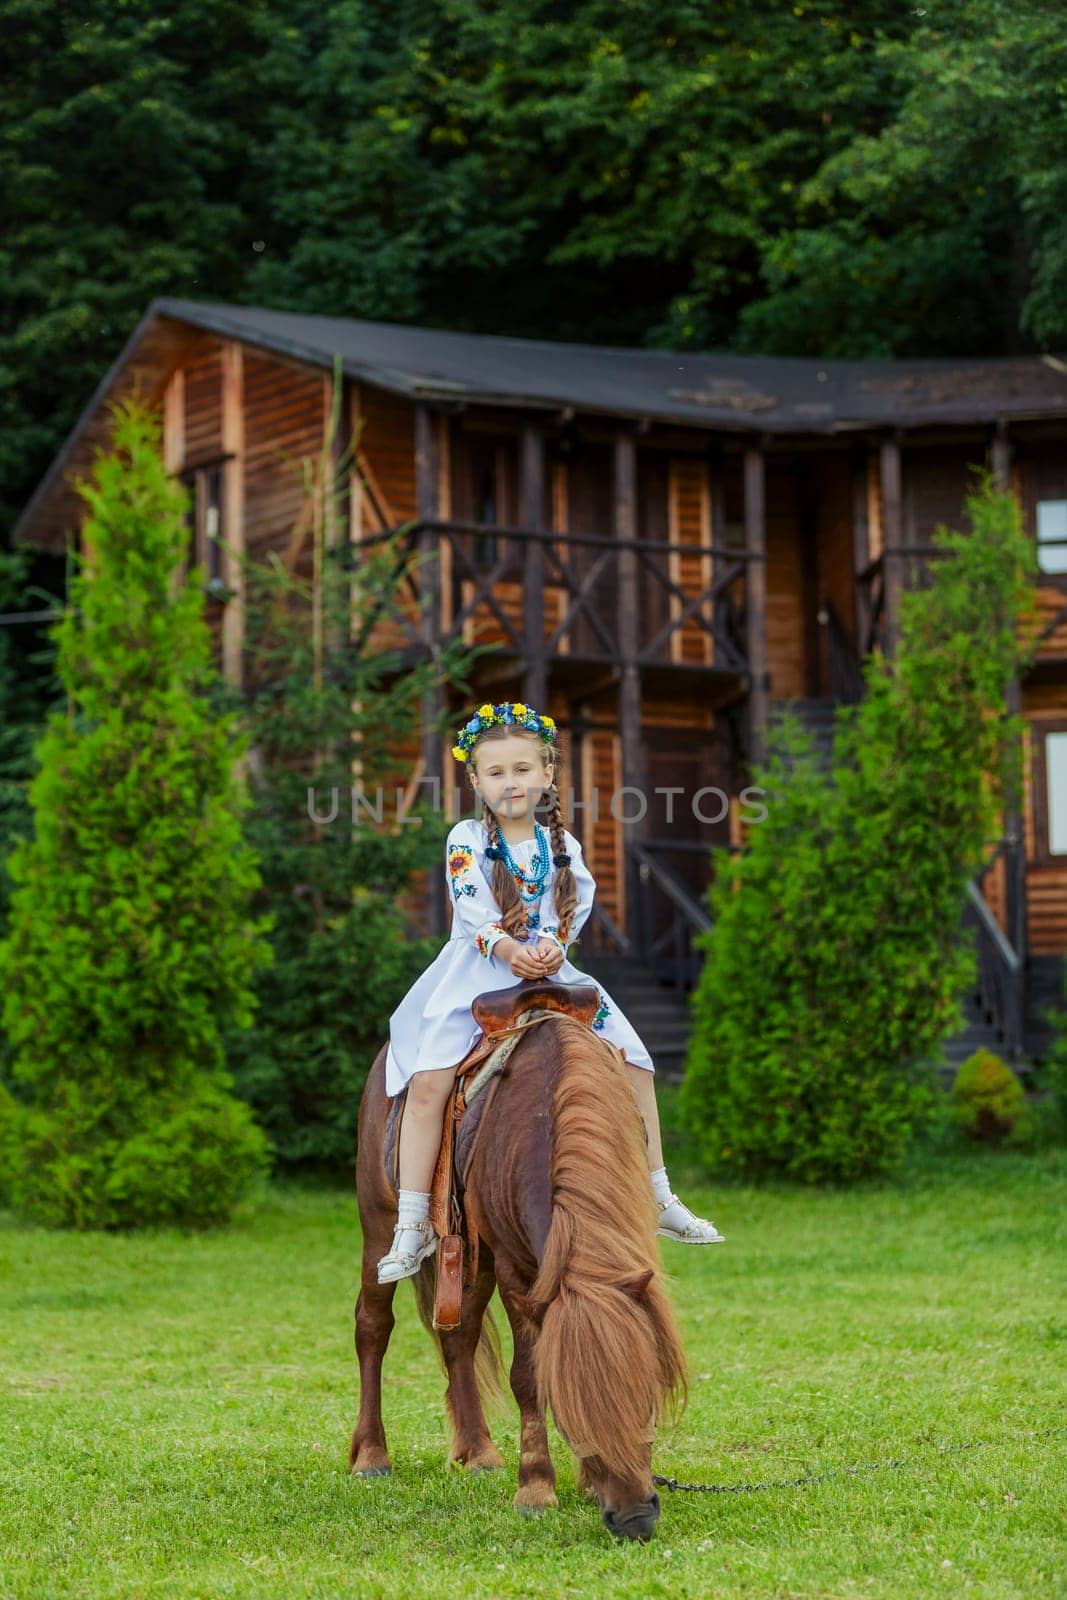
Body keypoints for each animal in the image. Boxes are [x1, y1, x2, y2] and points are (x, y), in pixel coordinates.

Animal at [347, 1004, 687, 1542]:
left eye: (646, 1394)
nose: (636, 1518)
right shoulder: (515, 1271)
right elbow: (527, 1376)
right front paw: (536, 1489)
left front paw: (584, 1481)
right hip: (380, 1223)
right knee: (373, 1326)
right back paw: (372, 1456)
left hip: (472, 1256)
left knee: (459, 1337)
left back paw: (480, 1452)